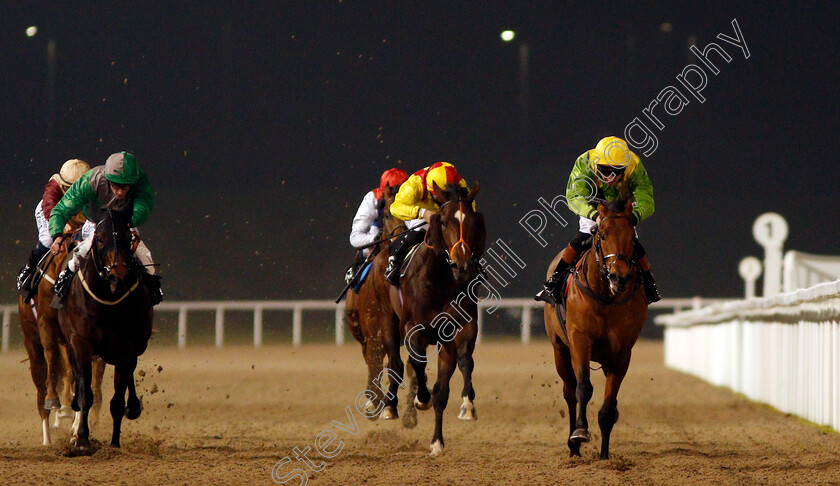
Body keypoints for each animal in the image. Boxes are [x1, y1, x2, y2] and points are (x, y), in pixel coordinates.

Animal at [57, 206, 154, 456]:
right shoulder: (81, 342)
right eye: (99, 239)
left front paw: (114, 444)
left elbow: (117, 400)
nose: (118, 276)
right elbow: (85, 393)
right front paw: (82, 440)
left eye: (129, 238)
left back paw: (133, 407)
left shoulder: (127, 348)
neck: (107, 302)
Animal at [388, 181, 482, 456]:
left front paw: (467, 405)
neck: (439, 280)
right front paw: (421, 399)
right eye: (443, 221)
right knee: (400, 362)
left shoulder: (461, 327)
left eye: (472, 221)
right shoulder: (413, 328)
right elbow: (418, 365)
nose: (462, 266)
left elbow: (464, 363)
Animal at [544, 197, 648, 460]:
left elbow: (609, 406)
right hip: (560, 350)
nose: (619, 277)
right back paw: (573, 447)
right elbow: (583, 389)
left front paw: (604, 457)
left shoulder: (623, 352)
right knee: (569, 391)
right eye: (601, 234)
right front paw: (580, 433)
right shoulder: (580, 340)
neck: (606, 298)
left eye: (631, 237)